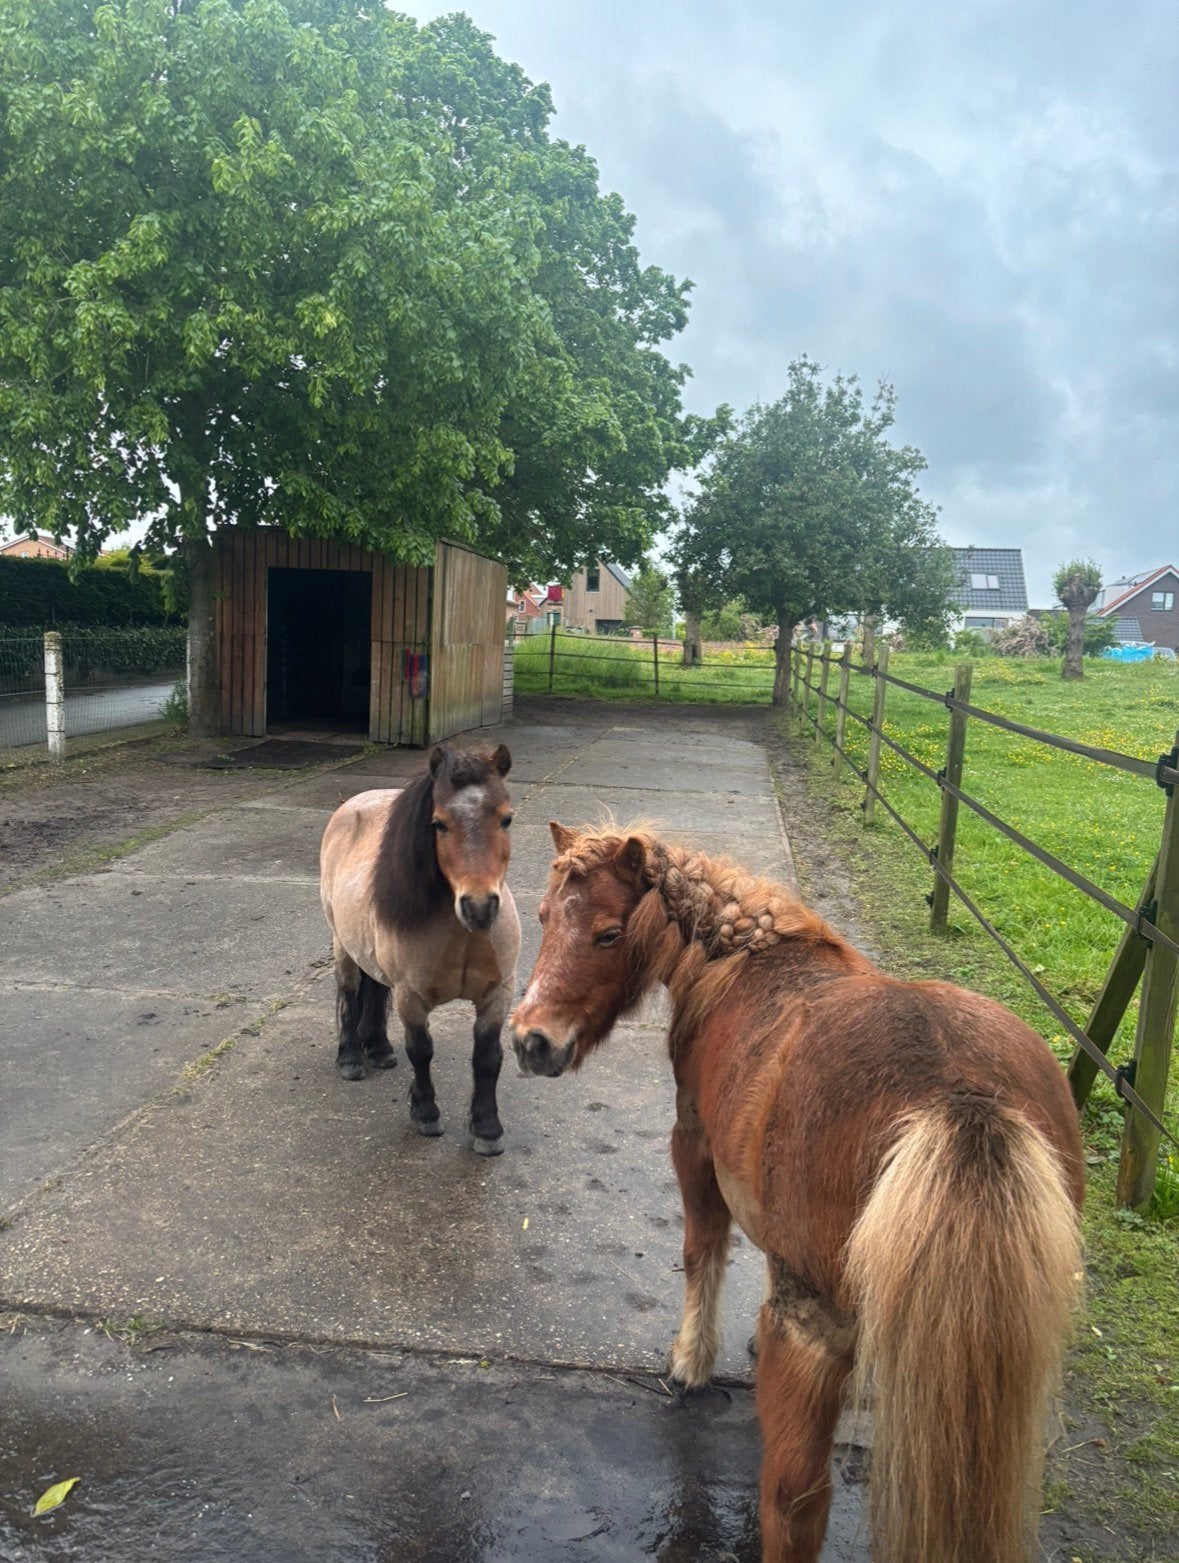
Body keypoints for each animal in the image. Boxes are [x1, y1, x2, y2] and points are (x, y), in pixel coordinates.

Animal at [319, 743, 520, 1156]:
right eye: (439, 824)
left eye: (506, 819)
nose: (479, 907)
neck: (463, 935)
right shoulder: (410, 998)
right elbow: (421, 1050)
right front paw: (426, 1114)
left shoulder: (498, 994)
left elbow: (487, 1057)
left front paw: (487, 1129)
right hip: (343, 948)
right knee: (349, 994)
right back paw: (351, 1059)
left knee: (373, 988)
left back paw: (379, 1049)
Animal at [510, 822, 1084, 1563]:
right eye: (546, 917)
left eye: (608, 933)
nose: (531, 1041)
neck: (742, 962)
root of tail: (964, 1100)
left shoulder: (693, 1146)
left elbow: (702, 1252)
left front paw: (689, 1361)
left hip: (812, 1341)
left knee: (794, 1501)